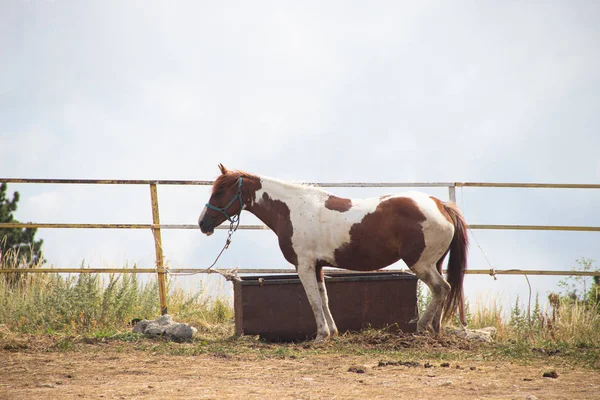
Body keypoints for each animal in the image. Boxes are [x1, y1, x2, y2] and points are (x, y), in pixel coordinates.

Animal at [198, 164, 468, 342]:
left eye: (219, 192)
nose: (203, 223)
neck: (292, 209)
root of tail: (441, 205)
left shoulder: (304, 265)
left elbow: (313, 300)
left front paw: (320, 336)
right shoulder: (318, 266)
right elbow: (324, 298)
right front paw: (332, 333)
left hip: (421, 264)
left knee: (441, 288)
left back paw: (422, 327)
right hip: (434, 263)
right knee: (441, 292)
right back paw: (435, 330)